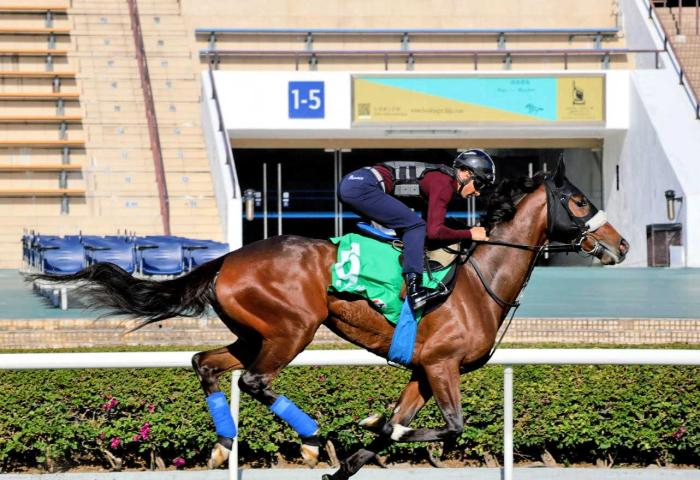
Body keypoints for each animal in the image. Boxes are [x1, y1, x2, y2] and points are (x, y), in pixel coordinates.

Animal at [31, 162, 628, 480]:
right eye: (577, 201)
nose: (620, 245)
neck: (477, 286)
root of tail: (228, 258)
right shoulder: (442, 366)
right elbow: (451, 428)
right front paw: (368, 427)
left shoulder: (421, 371)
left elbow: (390, 434)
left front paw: (367, 440)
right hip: (293, 328)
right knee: (254, 380)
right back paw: (314, 437)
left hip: (254, 332)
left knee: (206, 363)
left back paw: (225, 442)